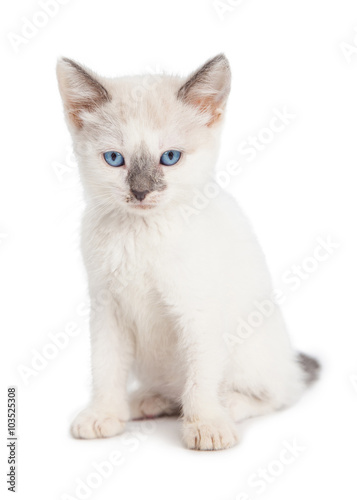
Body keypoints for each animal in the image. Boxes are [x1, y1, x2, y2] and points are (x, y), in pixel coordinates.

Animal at [57, 55, 318, 454]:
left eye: (170, 157)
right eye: (115, 159)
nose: (141, 192)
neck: (142, 234)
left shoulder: (198, 311)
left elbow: (201, 376)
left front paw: (206, 424)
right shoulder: (107, 309)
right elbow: (105, 367)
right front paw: (103, 413)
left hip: (254, 354)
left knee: (276, 394)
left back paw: (228, 404)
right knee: (171, 388)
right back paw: (146, 401)